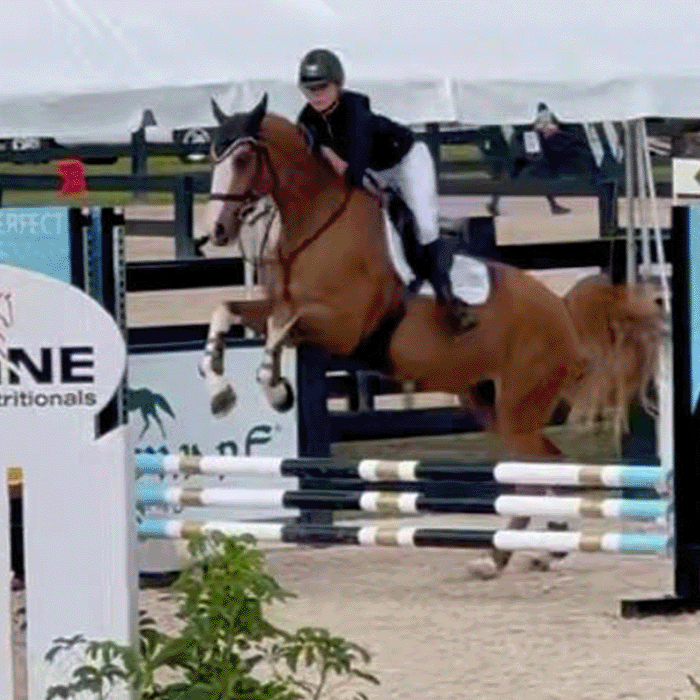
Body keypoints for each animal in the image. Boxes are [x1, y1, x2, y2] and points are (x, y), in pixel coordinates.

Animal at [198, 93, 664, 577]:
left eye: (243, 158)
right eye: (213, 155)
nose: (216, 232)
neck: (314, 224)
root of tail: (562, 312)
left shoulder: (341, 325)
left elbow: (278, 329)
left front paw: (274, 389)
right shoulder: (284, 309)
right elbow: (227, 311)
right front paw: (221, 392)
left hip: (519, 402)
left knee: (546, 464)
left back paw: (533, 547)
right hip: (485, 400)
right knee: (532, 468)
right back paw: (513, 552)